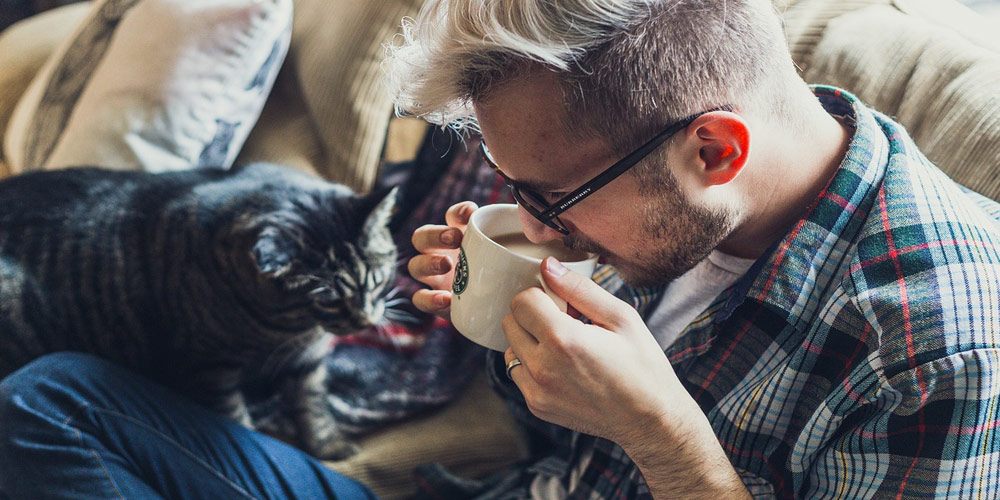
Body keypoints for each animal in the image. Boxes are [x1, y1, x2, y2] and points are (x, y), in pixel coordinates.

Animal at [0, 162, 398, 458]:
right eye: (327, 299)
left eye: (377, 279)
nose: (364, 319)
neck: (288, 329)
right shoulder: (210, 369)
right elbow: (236, 418)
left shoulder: (308, 362)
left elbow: (313, 406)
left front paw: (329, 446)